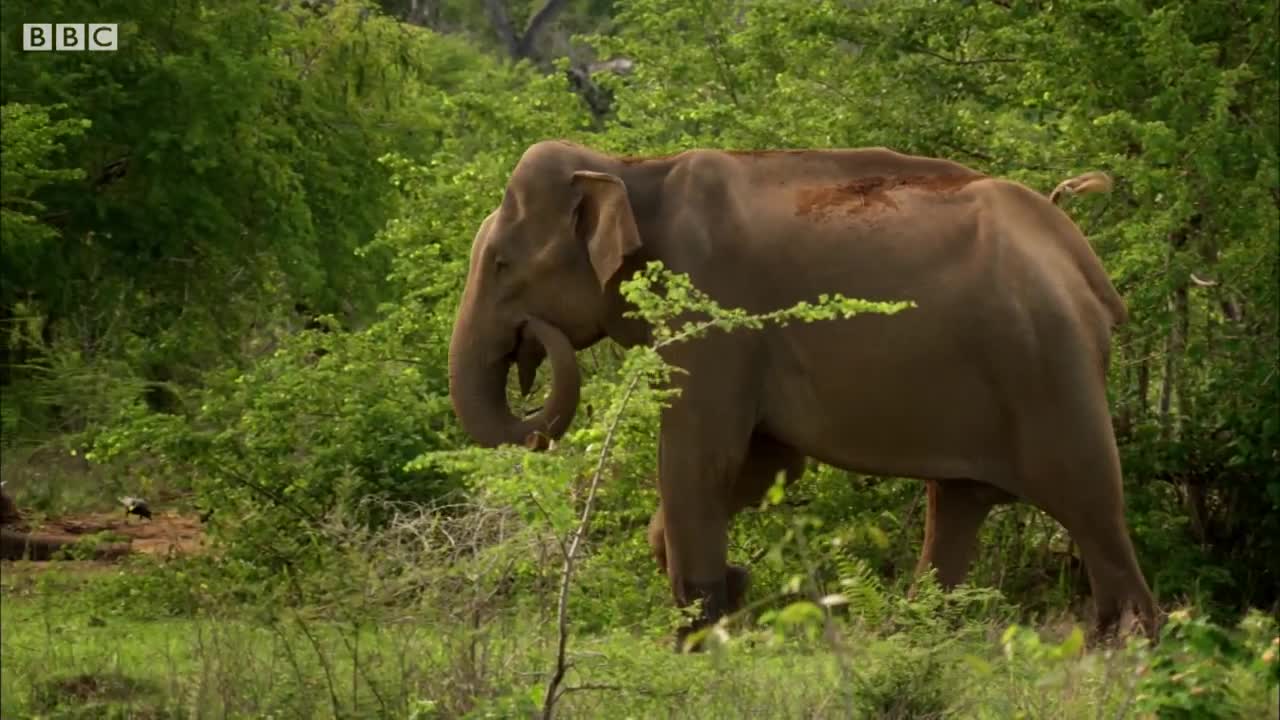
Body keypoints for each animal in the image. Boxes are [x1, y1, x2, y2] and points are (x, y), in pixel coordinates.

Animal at [448, 137, 1162, 648]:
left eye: (502, 264)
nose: (532, 338)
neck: (631, 168)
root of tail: (1084, 263)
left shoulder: (713, 312)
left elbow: (700, 456)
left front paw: (699, 636)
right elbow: (765, 464)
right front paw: (733, 591)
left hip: (1049, 367)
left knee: (1089, 498)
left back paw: (1122, 646)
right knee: (960, 502)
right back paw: (915, 637)